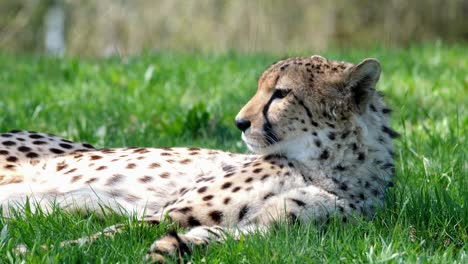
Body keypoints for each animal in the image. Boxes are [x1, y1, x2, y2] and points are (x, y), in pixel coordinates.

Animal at [0, 54, 398, 260]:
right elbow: (106, 235)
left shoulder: (276, 231)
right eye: (261, 88)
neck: (328, 166)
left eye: (282, 93)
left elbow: (223, 236)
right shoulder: (169, 212)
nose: (239, 122)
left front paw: (172, 247)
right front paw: (36, 251)